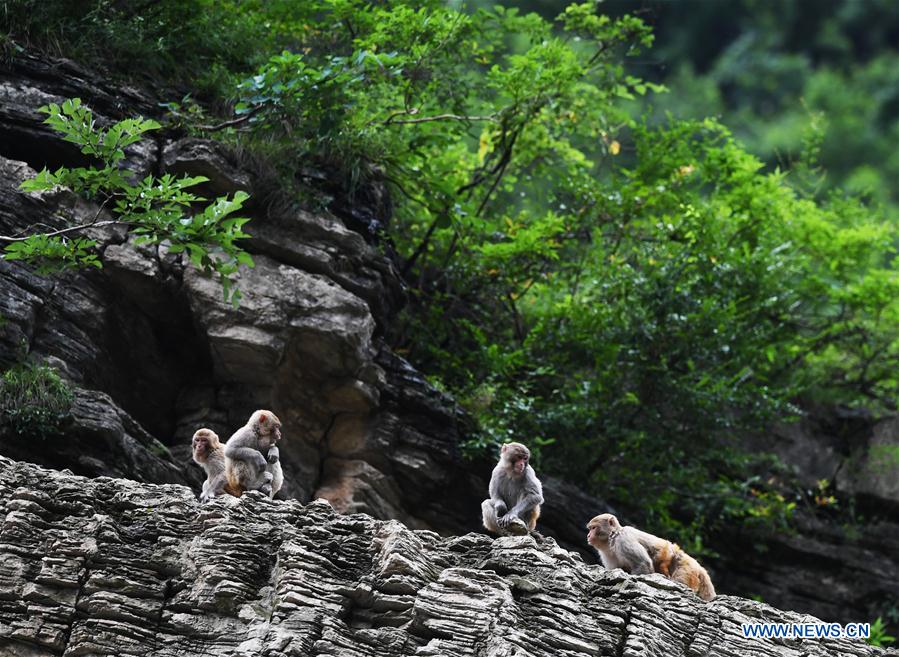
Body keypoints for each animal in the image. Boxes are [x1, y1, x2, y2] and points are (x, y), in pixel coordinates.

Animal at [588, 512, 720, 600]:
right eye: (589, 529)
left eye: (594, 528)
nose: (588, 535)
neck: (612, 537)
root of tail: (698, 566)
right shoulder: (605, 552)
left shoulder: (623, 539)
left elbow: (643, 564)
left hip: (687, 567)